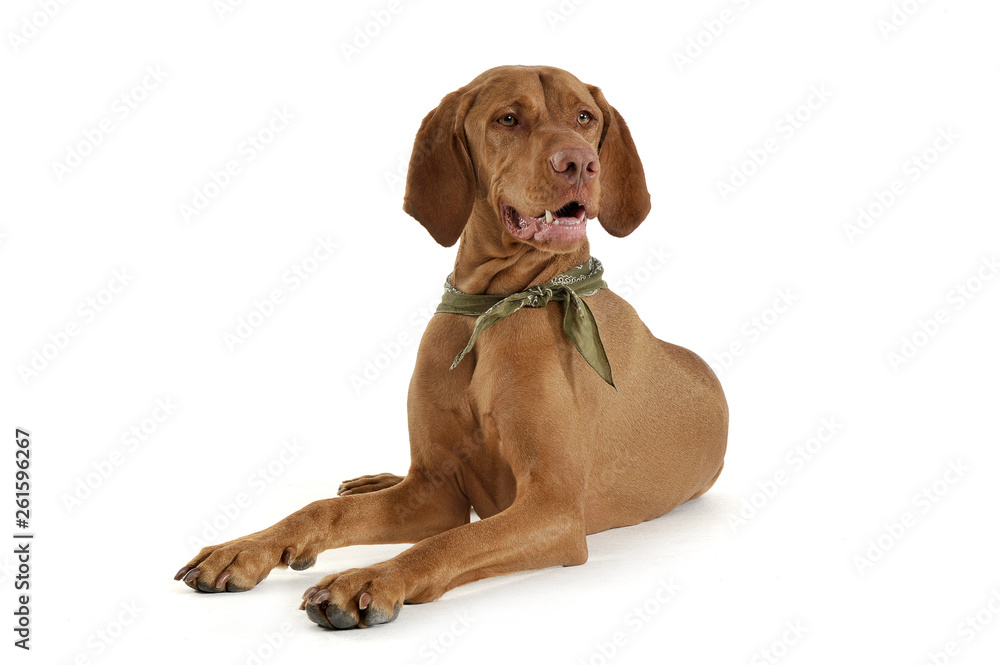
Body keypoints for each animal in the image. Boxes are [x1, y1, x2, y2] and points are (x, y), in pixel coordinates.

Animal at [176, 66, 732, 628]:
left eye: (584, 117)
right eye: (507, 119)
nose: (579, 163)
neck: (496, 306)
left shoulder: (553, 509)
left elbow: (453, 541)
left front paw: (369, 579)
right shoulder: (434, 493)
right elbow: (324, 510)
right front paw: (245, 548)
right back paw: (372, 481)